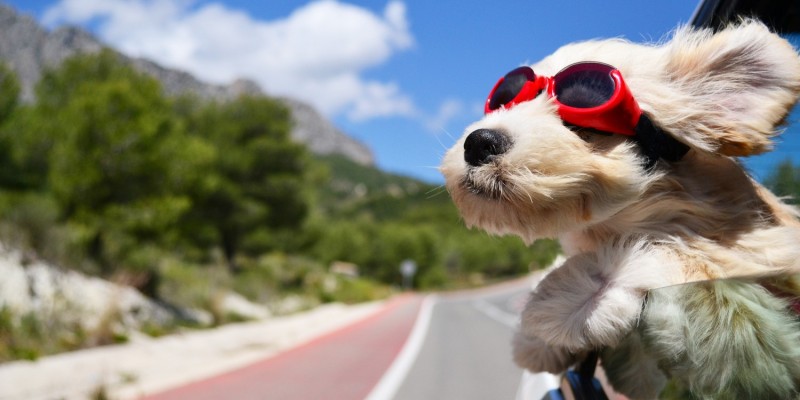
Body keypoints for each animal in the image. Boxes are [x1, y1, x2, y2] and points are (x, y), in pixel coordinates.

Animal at [440, 22, 800, 400]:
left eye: (584, 123)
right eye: (502, 101)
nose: (479, 142)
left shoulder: (765, 253)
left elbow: (685, 253)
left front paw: (567, 300)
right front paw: (537, 340)